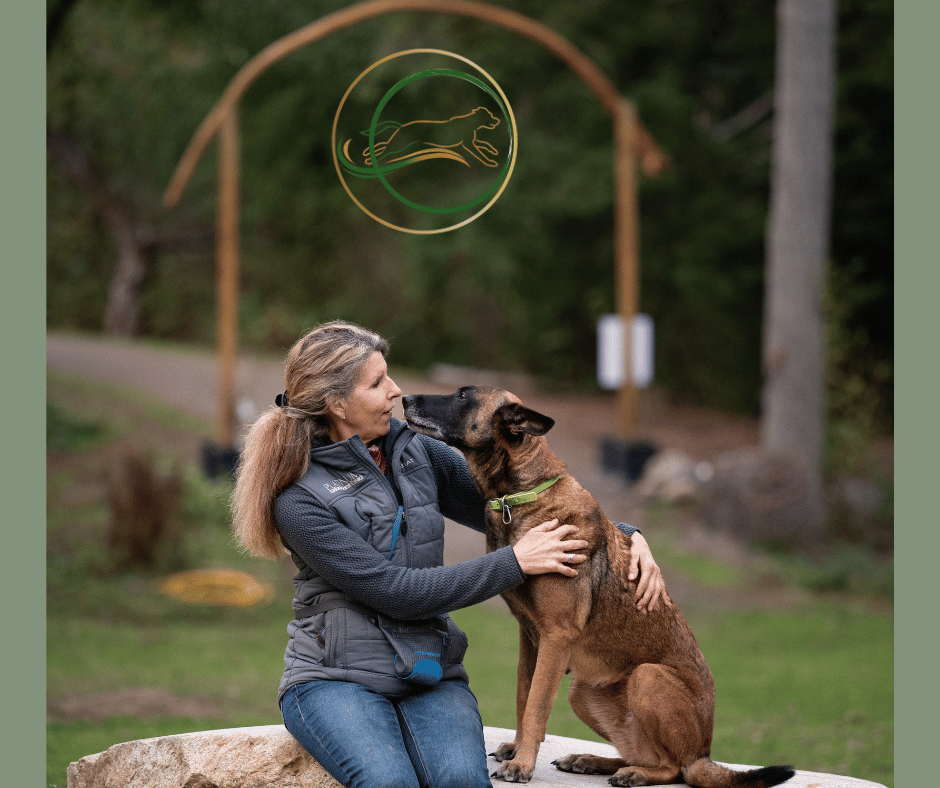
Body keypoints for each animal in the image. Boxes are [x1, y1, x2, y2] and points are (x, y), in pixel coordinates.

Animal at [402, 386, 794, 787]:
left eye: (463, 396)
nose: (405, 399)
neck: (524, 495)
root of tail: (704, 754)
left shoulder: (556, 638)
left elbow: (536, 706)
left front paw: (522, 763)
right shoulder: (531, 638)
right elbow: (524, 697)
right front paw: (518, 750)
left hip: (646, 677)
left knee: (673, 768)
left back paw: (633, 772)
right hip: (583, 692)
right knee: (644, 755)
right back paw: (593, 761)